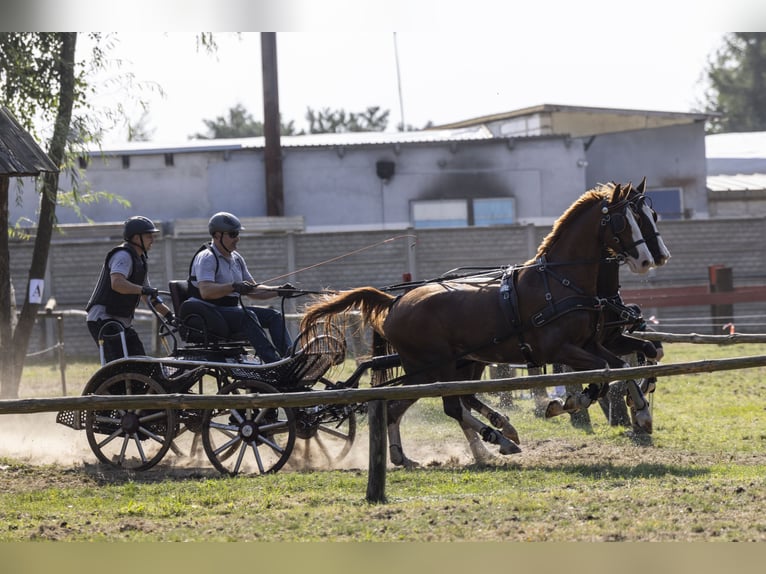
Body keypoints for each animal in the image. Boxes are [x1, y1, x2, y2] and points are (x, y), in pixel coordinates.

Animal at [302, 183, 660, 468]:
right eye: (623, 220)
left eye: (646, 216)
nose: (648, 260)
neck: (559, 280)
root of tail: (396, 302)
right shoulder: (562, 349)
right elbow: (605, 372)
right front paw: (568, 403)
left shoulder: (591, 343)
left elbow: (622, 365)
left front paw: (641, 411)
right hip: (432, 369)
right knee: (448, 406)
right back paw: (500, 439)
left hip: (445, 368)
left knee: (404, 407)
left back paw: (410, 455)